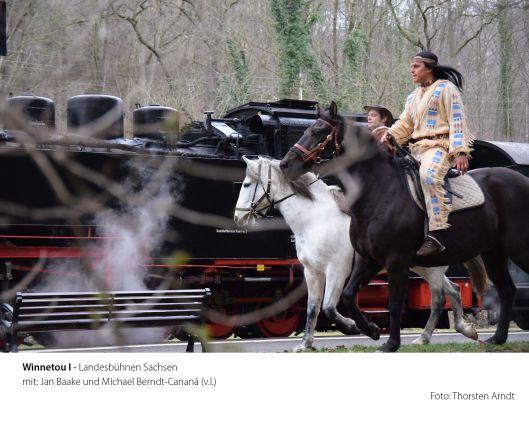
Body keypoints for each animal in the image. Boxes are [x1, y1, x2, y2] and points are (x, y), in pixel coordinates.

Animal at [234, 156, 481, 350]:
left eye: (246, 184)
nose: (238, 217)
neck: (315, 218)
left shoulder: (336, 271)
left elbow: (329, 308)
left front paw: (360, 327)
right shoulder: (312, 273)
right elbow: (313, 308)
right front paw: (306, 343)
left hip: (431, 268)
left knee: (438, 299)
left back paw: (426, 337)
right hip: (421, 266)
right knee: (454, 291)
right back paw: (461, 330)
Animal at [279, 101, 526, 352]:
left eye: (319, 131)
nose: (285, 164)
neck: (379, 191)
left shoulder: (396, 260)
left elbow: (395, 303)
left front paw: (391, 343)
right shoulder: (368, 259)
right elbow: (348, 296)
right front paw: (371, 330)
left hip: (515, 249)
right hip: (492, 254)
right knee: (506, 290)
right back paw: (497, 338)